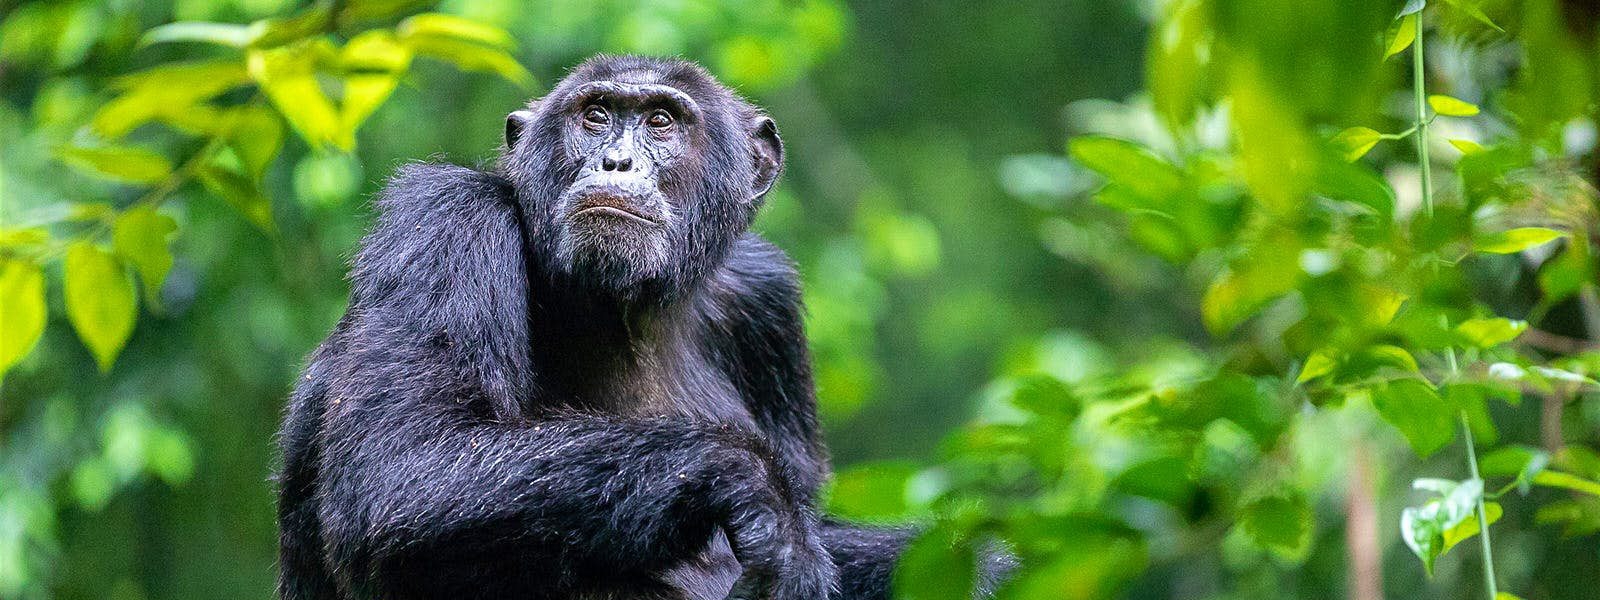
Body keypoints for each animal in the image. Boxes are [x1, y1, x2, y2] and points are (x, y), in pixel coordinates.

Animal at [273, 54, 966, 598]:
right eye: (596, 116)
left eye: (661, 121)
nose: (615, 160)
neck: (626, 306)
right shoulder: (444, 222)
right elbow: (403, 462)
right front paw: (757, 495)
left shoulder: (766, 302)